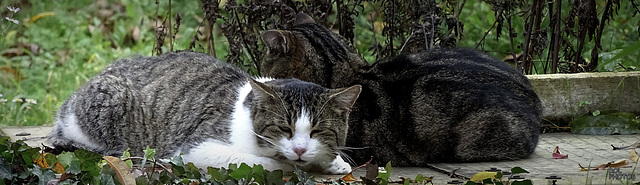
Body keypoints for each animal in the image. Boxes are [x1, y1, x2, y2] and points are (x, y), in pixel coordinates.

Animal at [47, 51, 362, 173]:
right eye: (284, 128)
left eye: (318, 131)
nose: (299, 149)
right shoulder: (196, 150)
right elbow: (263, 162)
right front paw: (290, 164)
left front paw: (335, 163)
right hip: (112, 104)